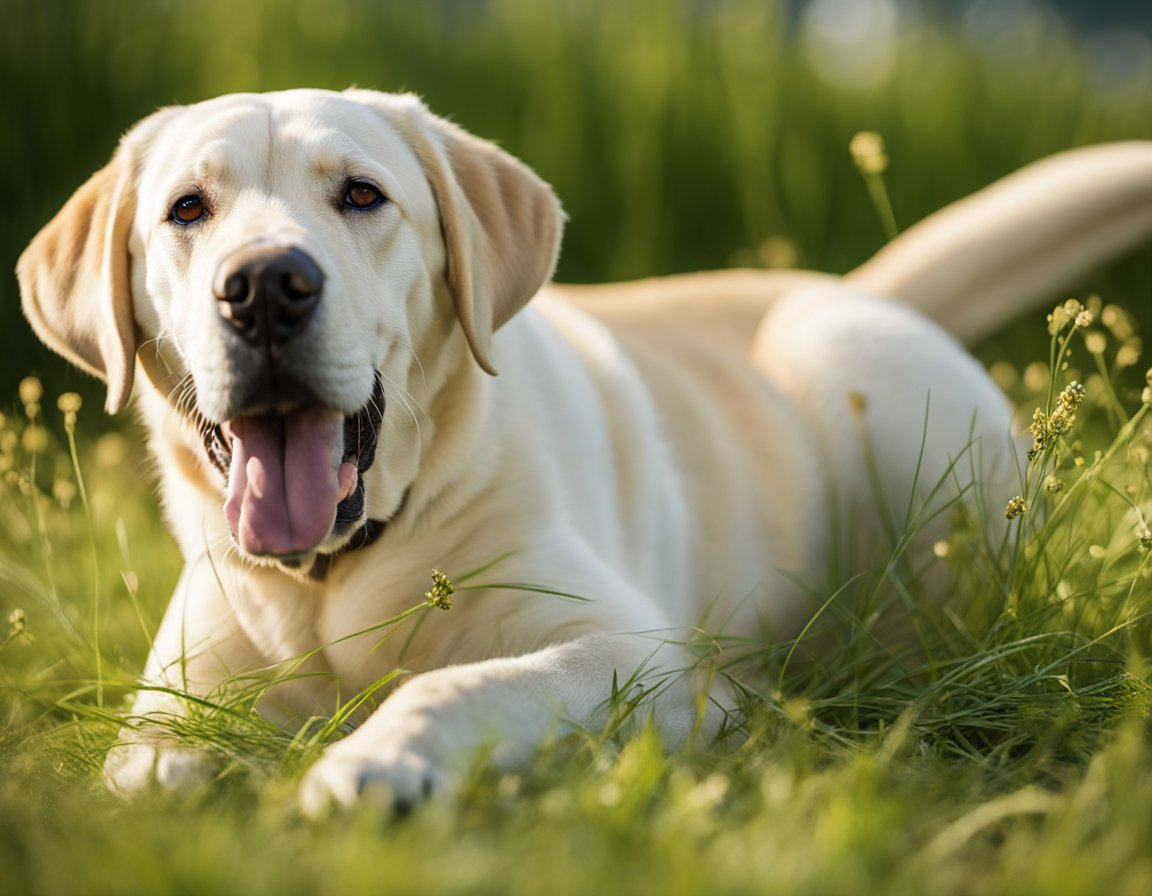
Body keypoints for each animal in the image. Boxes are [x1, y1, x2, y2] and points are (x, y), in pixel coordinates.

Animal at [15, 89, 1152, 810]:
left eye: (362, 194)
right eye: (187, 210)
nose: (264, 286)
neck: (337, 571)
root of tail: (856, 286)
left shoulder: (633, 653)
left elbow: (456, 683)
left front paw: (373, 761)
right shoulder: (180, 694)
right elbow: (141, 765)